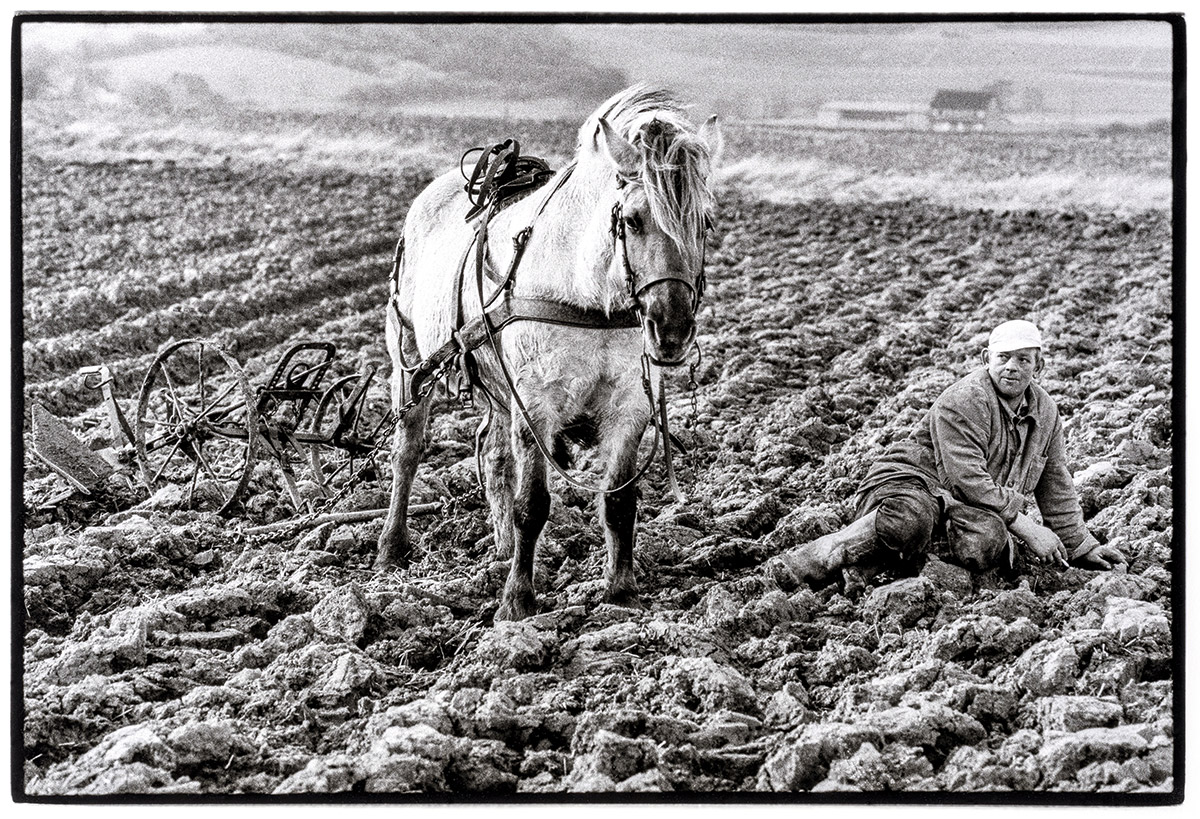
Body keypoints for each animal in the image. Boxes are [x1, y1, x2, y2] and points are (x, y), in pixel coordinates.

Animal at [379, 84, 715, 619]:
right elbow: (532, 504)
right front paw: (517, 599)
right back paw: (392, 546)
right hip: (410, 359)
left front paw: (621, 590)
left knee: (492, 452)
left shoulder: (630, 404)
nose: (672, 330)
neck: (588, 297)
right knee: (407, 451)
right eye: (633, 220)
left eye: (703, 221)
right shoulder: (536, 403)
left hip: (497, 383)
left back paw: (499, 546)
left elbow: (619, 500)